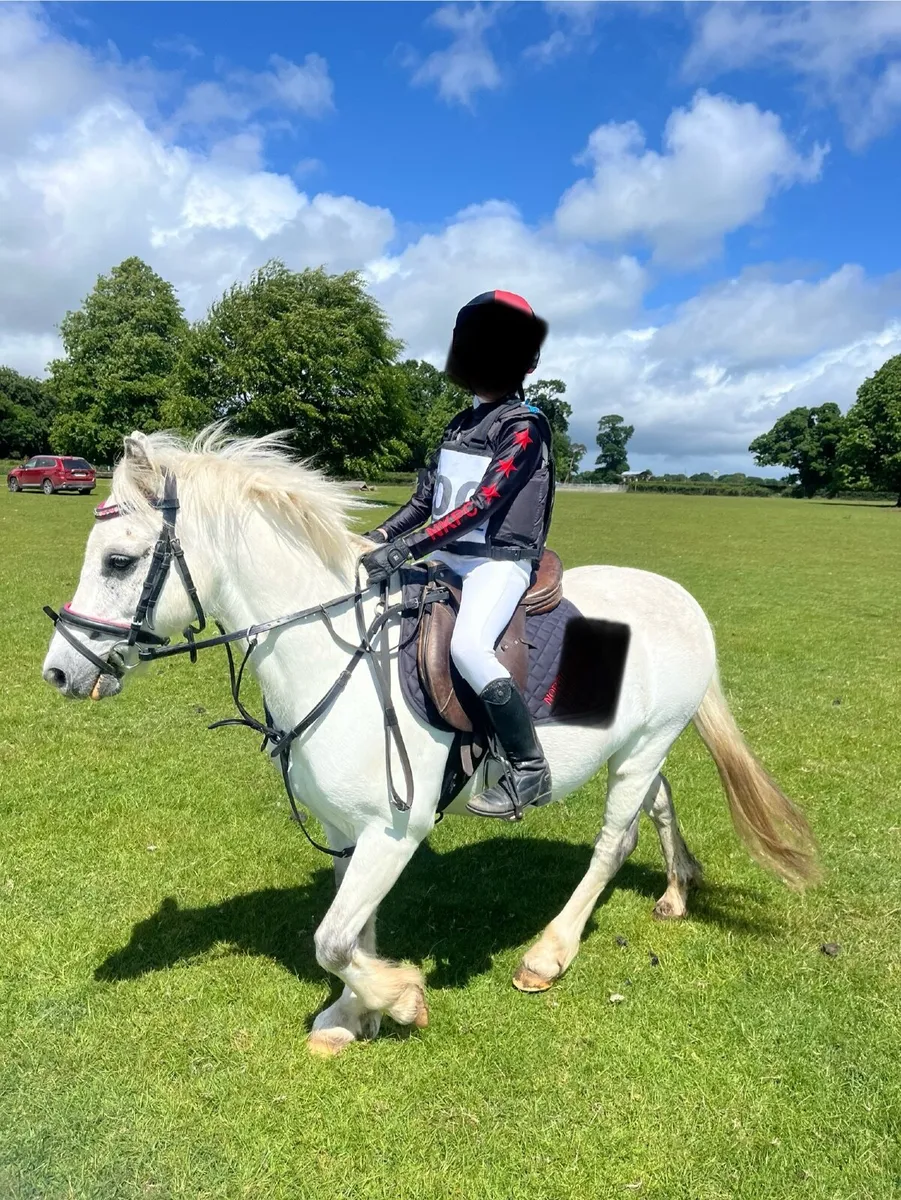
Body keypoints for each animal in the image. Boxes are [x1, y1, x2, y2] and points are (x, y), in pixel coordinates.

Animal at [41, 427, 819, 1056]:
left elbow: (331, 939)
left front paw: (399, 999)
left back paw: (548, 955)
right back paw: (678, 892)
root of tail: (680, 599)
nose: (60, 669)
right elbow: (353, 931)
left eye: (117, 561)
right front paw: (351, 1017)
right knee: (658, 805)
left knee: (613, 841)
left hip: (644, 747)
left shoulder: (395, 828)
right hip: (636, 746)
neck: (337, 656)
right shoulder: (346, 829)